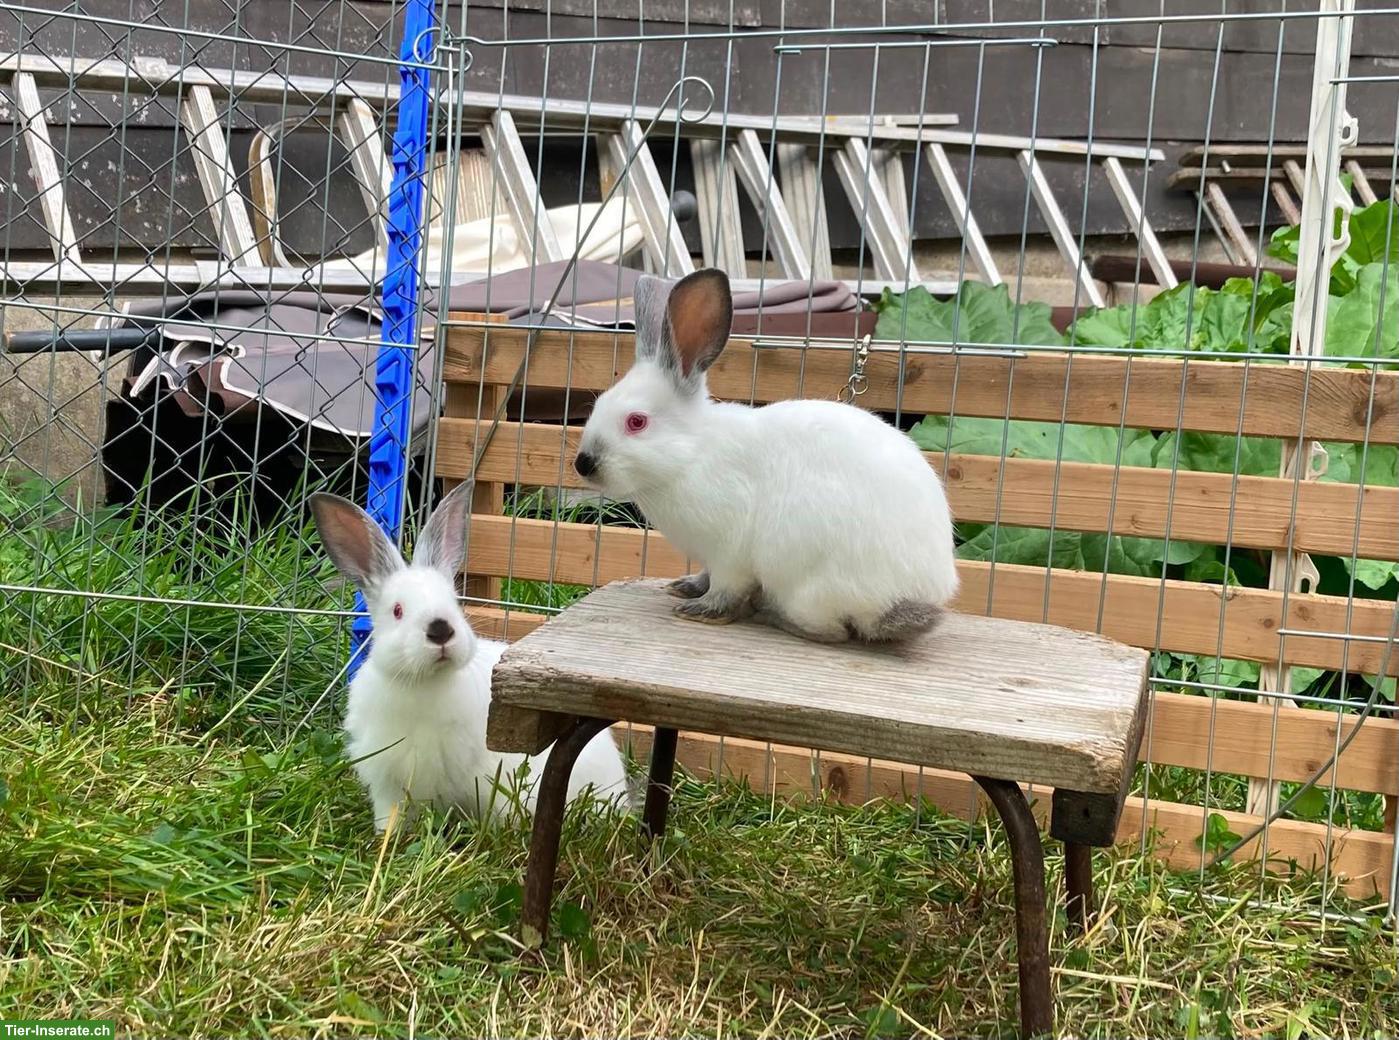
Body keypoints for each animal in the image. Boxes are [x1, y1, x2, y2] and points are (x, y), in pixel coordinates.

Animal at [309, 481, 630, 831]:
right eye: (397, 610)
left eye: (454, 601)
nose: (440, 630)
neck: (423, 682)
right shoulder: (387, 783)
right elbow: (390, 814)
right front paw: (387, 836)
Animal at [572, 267, 959, 644]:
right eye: (598, 404)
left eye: (636, 422)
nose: (583, 464)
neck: (691, 455)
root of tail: (907, 597)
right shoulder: (710, 557)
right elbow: (705, 575)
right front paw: (685, 587)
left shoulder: (729, 552)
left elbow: (725, 588)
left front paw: (700, 610)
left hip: (805, 584)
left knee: (832, 632)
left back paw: (774, 616)